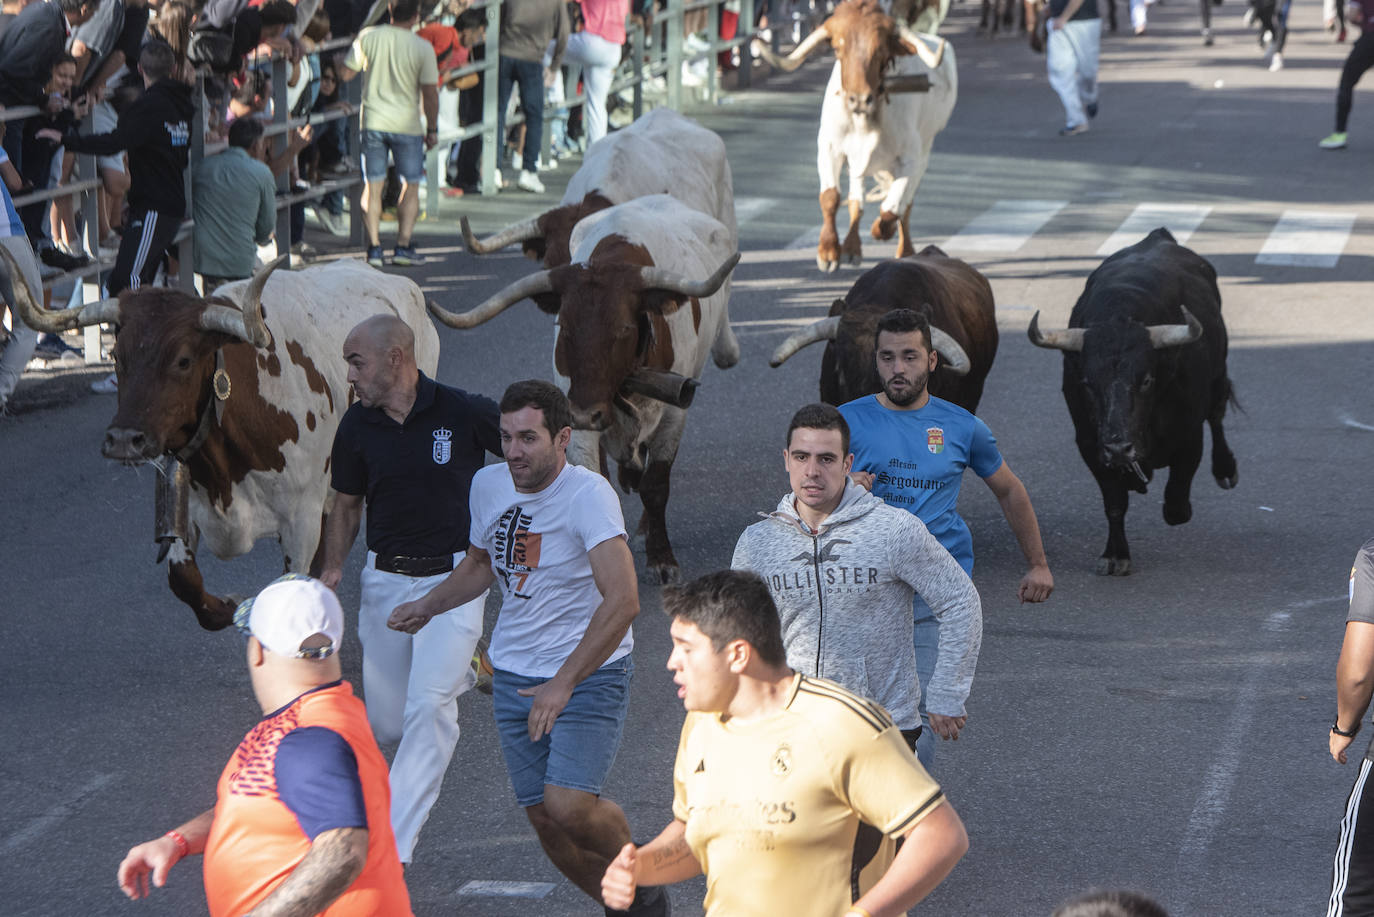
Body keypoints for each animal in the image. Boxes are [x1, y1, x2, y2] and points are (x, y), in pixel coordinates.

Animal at [0, 254, 436, 635]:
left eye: (183, 360)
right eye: (115, 356)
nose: (124, 440)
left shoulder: (301, 519)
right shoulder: (184, 505)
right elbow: (184, 581)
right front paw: (230, 605)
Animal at [752, 0, 956, 272]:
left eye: (880, 50)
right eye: (838, 47)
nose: (859, 99)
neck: (865, 122)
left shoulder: (910, 160)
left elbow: (892, 210)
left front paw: (881, 230)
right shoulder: (829, 148)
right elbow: (831, 197)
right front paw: (829, 252)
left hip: (925, 148)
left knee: (905, 205)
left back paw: (905, 250)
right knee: (856, 200)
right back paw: (851, 248)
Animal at [1033, 229, 1236, 574]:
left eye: (1146, 380)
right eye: (1087, 383)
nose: (1119, 448)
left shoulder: (1189, 436)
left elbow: (1176, 503)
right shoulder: (1090, 445)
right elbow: (1115, 503)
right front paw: (1115, 554)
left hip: (1218, 375)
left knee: (1217, 415)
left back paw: (1225, 469)